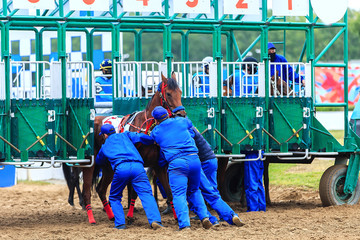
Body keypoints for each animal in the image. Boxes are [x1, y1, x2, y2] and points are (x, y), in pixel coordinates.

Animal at [70, 72, 184, 224]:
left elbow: (170, 193)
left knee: (101, 189)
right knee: (87, 191)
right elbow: (135, 192)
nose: (182, 114)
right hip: (90, 165)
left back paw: (112, 216)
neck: (147, 126)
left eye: (180, 92)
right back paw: (92, 218)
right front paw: (130, 216)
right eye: (169, 93)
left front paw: (178, 219)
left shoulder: (159, 166)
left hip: (108, 167)